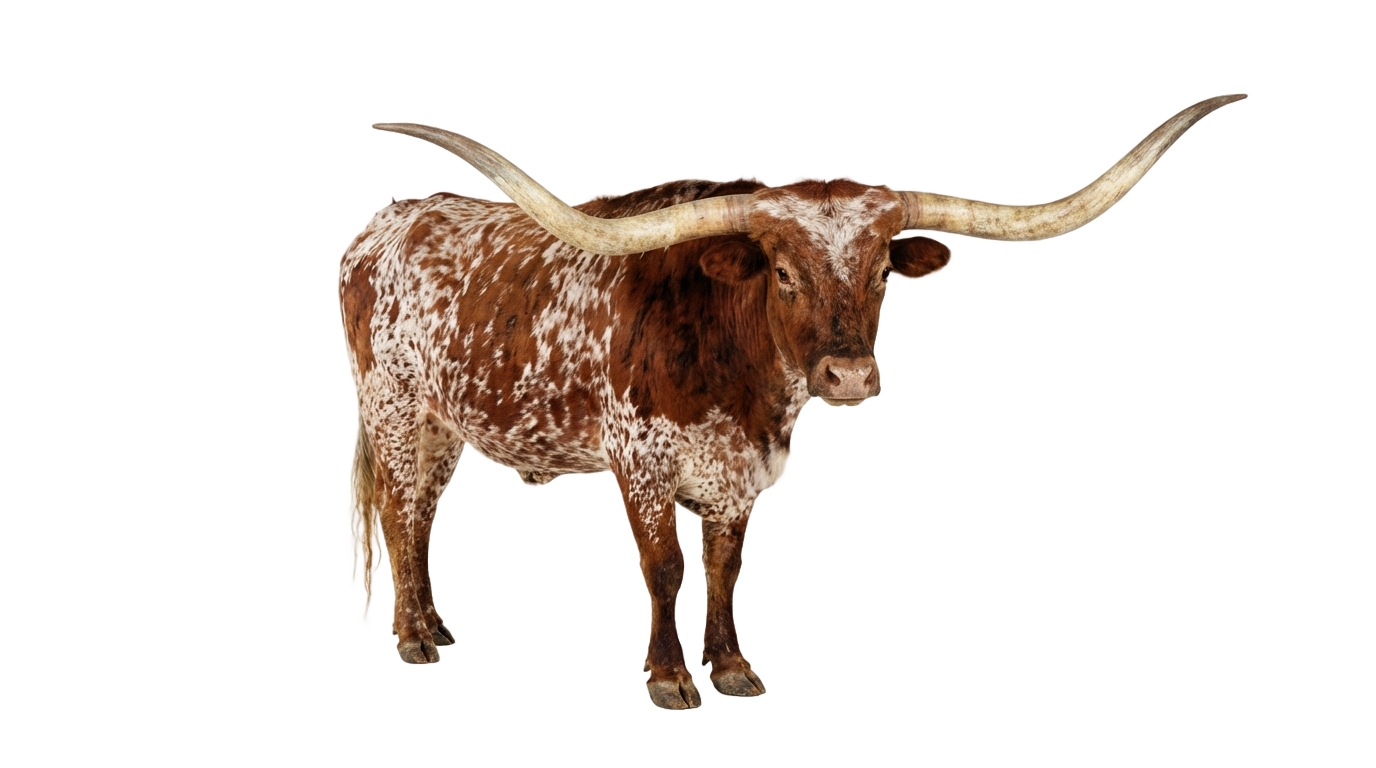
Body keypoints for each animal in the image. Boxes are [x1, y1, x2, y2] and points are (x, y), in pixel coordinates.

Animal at [339, 94, 1245, 708]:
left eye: (880, 270)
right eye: (781, 271)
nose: (849, 376)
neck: (732, 379)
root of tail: (384, 228)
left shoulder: (743, 462)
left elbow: (726, 559)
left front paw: (733, 667)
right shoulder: (640, 458)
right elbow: (664, 565)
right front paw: (669, 678)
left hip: (439, 424)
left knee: (416, 512)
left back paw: (433, 626)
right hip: (393, 410)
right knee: (398, 511)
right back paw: (411, 639)